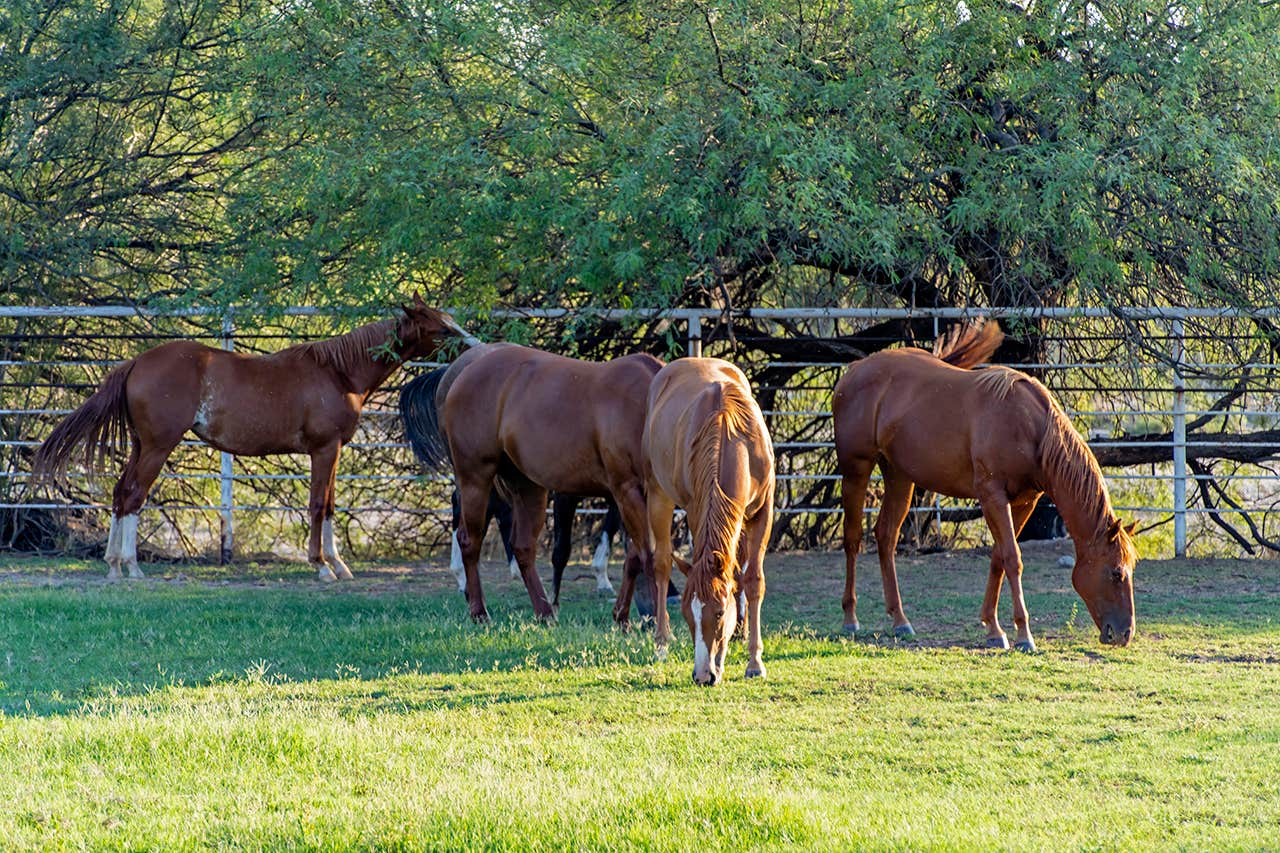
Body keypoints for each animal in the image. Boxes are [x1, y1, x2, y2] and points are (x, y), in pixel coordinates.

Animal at [35, 292, 476, 578]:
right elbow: (318, 505)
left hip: (142, 445)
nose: (475, 346)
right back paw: (130, 567)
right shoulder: (324, 450)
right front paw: (321, 567)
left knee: (119, 493)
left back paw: (113, 565)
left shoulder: (334, 452)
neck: (338, 372)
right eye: (441, 329)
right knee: (133, 496)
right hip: (158, 447)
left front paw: (338, 564)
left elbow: (331, 506)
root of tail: (138, 361)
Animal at [396, 338, 660, 617]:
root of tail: (462, 371)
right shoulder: (622, 490)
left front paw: (624, 616)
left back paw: (545, 613)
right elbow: (648, 553)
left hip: (525, 485)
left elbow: (636, 554)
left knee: (522, 545)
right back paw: (480, 611)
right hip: (475, 477)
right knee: (470, 539)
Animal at [645, 356, 773, 686]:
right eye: (687, 615)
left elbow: (751, 580)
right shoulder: (695, 509)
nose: (703, 675)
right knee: (661, 564)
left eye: (718, 612)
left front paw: (754, 661)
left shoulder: (762, 511)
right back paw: (660, 643)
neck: (731, 435)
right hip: (658, 494)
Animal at [834, 317, 1136, 645]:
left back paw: (900, 620)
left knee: (886, 536)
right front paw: (1023, 634)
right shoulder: (992, 496)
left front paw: (993, 627)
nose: (1124, 633)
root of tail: (855, 370)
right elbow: (1013, 558)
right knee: (852, 538)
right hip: (856, 469)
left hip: (899, 476)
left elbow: (998, 558)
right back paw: (850, 618)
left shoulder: (1023, 501)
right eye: (1116, 572)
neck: (1032, 429)